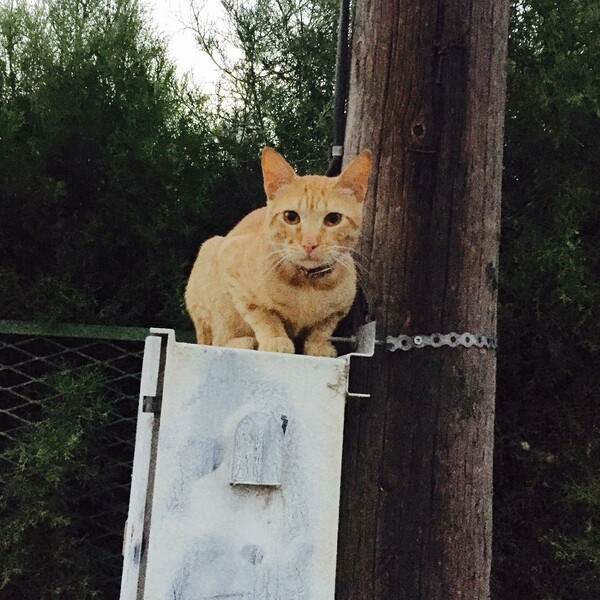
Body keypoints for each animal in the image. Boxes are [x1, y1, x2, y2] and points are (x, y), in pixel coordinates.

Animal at [184, 146, 370, 356]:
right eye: (290, 217)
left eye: (333, 219)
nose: (309, 243)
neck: (308, 286)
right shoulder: (233, 274)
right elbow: (264, 316)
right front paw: (276, 339)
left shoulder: (339, 310)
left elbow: (323, 328)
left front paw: (319, 346)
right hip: (209, 259)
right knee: (216, 340)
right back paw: (245, 342)